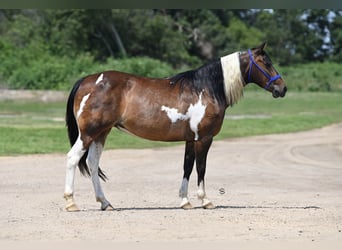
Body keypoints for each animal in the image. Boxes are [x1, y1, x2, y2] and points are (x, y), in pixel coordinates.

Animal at [63, 42, 286, 211]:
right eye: (266, 63)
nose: (282, 88)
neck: (205, 89)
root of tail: (87, 80)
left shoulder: (190, 139)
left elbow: (187, 166)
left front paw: (185, 201)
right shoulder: (204, 138)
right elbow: (201, 167)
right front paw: (205, 200)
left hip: (101, 133)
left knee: (92, 163)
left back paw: (105, 203)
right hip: (88, 133)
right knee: (73, 158)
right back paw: (71, 202)